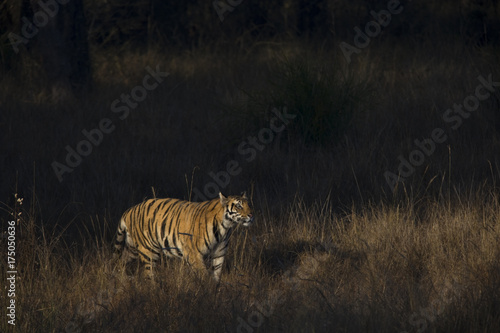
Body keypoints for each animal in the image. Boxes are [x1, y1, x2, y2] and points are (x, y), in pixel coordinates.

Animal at [114, 192, 254, 280]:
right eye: (239, 205)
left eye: (248, 205)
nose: (251, 215)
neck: (225, 227)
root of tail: (129, 210)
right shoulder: (193, 254)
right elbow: (204, 275)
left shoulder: (219, 255)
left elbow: (216, 277)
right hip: (149, 251)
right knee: (148, 275)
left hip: (133, 248)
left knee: (122, 260)